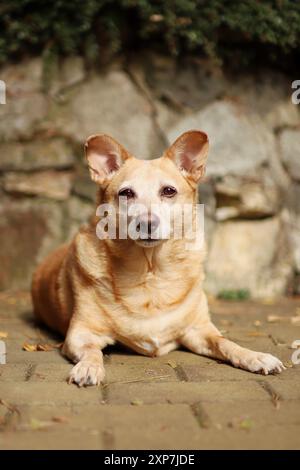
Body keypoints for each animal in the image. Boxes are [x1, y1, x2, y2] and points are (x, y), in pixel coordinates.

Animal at [31, 129, 286, 386]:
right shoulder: (81, 333)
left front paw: (255, 356)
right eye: (126, 193)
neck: (150, 272)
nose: (146, 223)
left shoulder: (199, 330)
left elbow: (225, 342)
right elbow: (92, 351)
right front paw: (89, 367)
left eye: (169, 191)